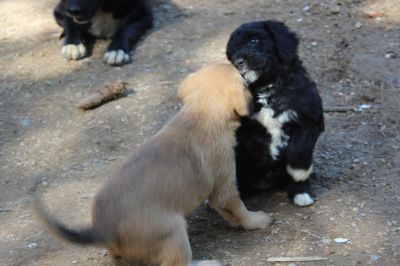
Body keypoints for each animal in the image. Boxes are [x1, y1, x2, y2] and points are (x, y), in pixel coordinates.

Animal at [36, 63, 272, 264]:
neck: (199, 112)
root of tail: (103, 230)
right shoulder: (224, 187)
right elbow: (239, 210)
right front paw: (257, 220)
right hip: (174, 232)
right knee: (178, 263)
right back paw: (207, 263)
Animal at [225, 20, 324, 207]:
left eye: (253, 40)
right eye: (231, 53)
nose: (238, 62)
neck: (267, 86)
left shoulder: (310, 119)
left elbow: (299, 150)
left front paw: (298, 175)